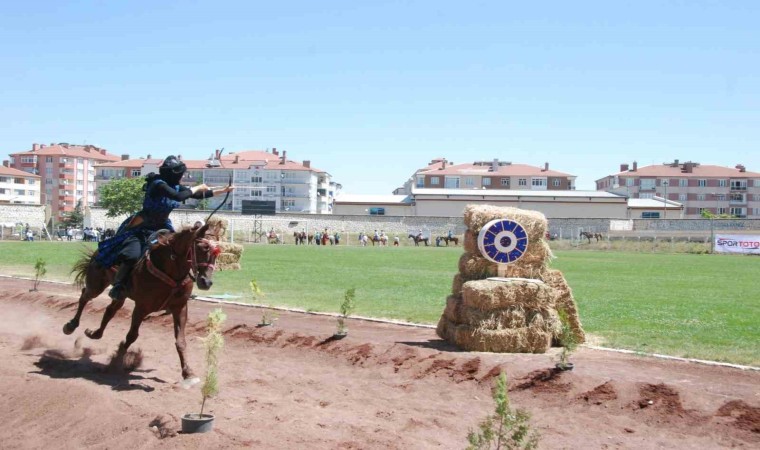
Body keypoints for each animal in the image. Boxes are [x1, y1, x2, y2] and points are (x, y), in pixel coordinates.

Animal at [62, 223, 220, 382]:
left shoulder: (179, 307)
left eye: (217, 252)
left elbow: (180, 341)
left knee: (110, 310)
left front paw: (188, 373)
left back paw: (95, 333)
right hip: (96, 285)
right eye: (202, 247)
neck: (169, 269)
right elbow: (132, 336)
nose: (206, 282)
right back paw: (70, 326)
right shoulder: (141, 307)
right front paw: (115, 362)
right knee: (84, 297)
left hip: (121, 295)